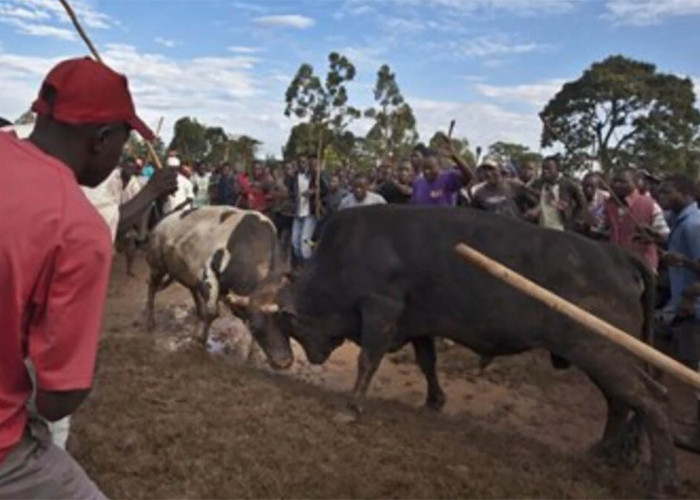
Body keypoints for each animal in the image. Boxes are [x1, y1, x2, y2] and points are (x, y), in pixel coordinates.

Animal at [145, 205, 292, 370]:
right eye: (254, 327)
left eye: (287, 324)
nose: (284, 362)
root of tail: (162, 221)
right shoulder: (208, 274)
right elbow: (212, 312)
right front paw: (199, 339)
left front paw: (252, 354)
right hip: (156, 265)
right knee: (152, 287)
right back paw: (150, 321)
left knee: (192, 289)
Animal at [249, 205, 676, 494]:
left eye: (270, 326)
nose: (285, 361)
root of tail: (617, 254)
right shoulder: (417, 322)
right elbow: (427, 362)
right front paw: (434, 401)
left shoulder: (380, 310)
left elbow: (368, 361)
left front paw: (352, 406)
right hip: (601, 357)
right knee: (621, 403)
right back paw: (601, 451)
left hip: (601, 351)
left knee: (652, 401)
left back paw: (662, 480)